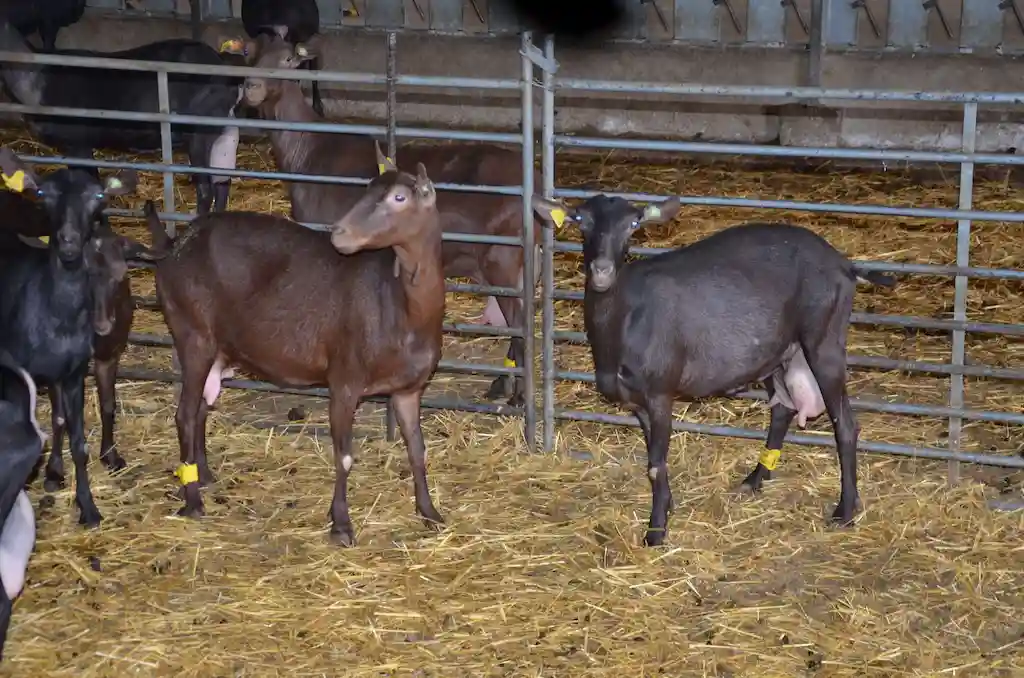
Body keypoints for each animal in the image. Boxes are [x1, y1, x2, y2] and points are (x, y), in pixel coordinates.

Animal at [0, 20, 243, 215]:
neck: (38, 78)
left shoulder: (77, 142)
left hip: (200, 131)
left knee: (206, 189)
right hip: (224, 132)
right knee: (222, 183)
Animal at [0, 148, 139, 528]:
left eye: (99, 196)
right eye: (43, 193)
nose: (68, 242)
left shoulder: (73, 372)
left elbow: (78, 443)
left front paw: (88, 509)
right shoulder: (26, 375)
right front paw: (50, 476)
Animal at [152, 157, 446, 546]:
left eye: (399, 197)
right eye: (368, 188)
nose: (339, 233)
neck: (402, 305)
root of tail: (173, 246)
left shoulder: (409, 389)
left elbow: (417, 449)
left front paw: (429, 513)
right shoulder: (344, 379)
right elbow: (344, 456)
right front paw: (341, 525)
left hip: (217, 346)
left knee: (200, 407)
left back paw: (204, 475)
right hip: (192, 332)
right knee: (184, 413)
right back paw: (193, 499)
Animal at [238, 33, 541, 406]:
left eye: (286, 60)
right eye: (250, 55)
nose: (250, 87)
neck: (308, 152)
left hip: (502, 260)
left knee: (520, 322)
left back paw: (516, 395)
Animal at [531, 194, 896, 546]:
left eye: (633, 224)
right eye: (581, 220)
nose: (603, 271)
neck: (622, 320)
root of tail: (844, 264)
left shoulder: (660, 393)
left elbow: (656, 465)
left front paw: (656, 531)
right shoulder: (639, 402)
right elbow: (653, 460)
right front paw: (666, 505)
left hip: (824, 339)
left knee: (845, 425)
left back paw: (844, 511)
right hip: (777, 351)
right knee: (783, 409)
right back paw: (754, 480)